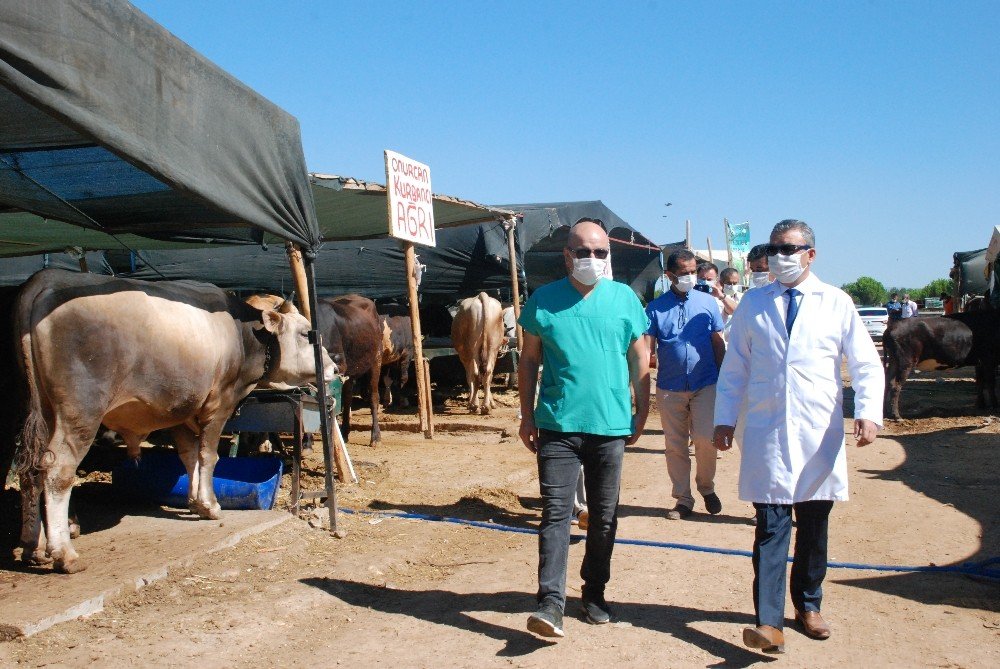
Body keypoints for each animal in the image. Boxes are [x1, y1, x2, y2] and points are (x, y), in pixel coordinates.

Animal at [14, 268, 336, 572]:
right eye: (306, 333)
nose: (333, 368)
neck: (242, 335)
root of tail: (49, 278)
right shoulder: (219, 404)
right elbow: (208, 456)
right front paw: (211, 504)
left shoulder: (181, 411)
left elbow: (189, 456)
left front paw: (195, 502)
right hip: (81, 412)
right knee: (58, 472)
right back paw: (63, 553)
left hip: (41, 411)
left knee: (31, 470)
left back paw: (34, 547)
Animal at [318, 294, 384, 446]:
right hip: (352, 370)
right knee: (347, 397)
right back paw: (345, 432)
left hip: (376, 360)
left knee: (373, 396)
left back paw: (375, 436)